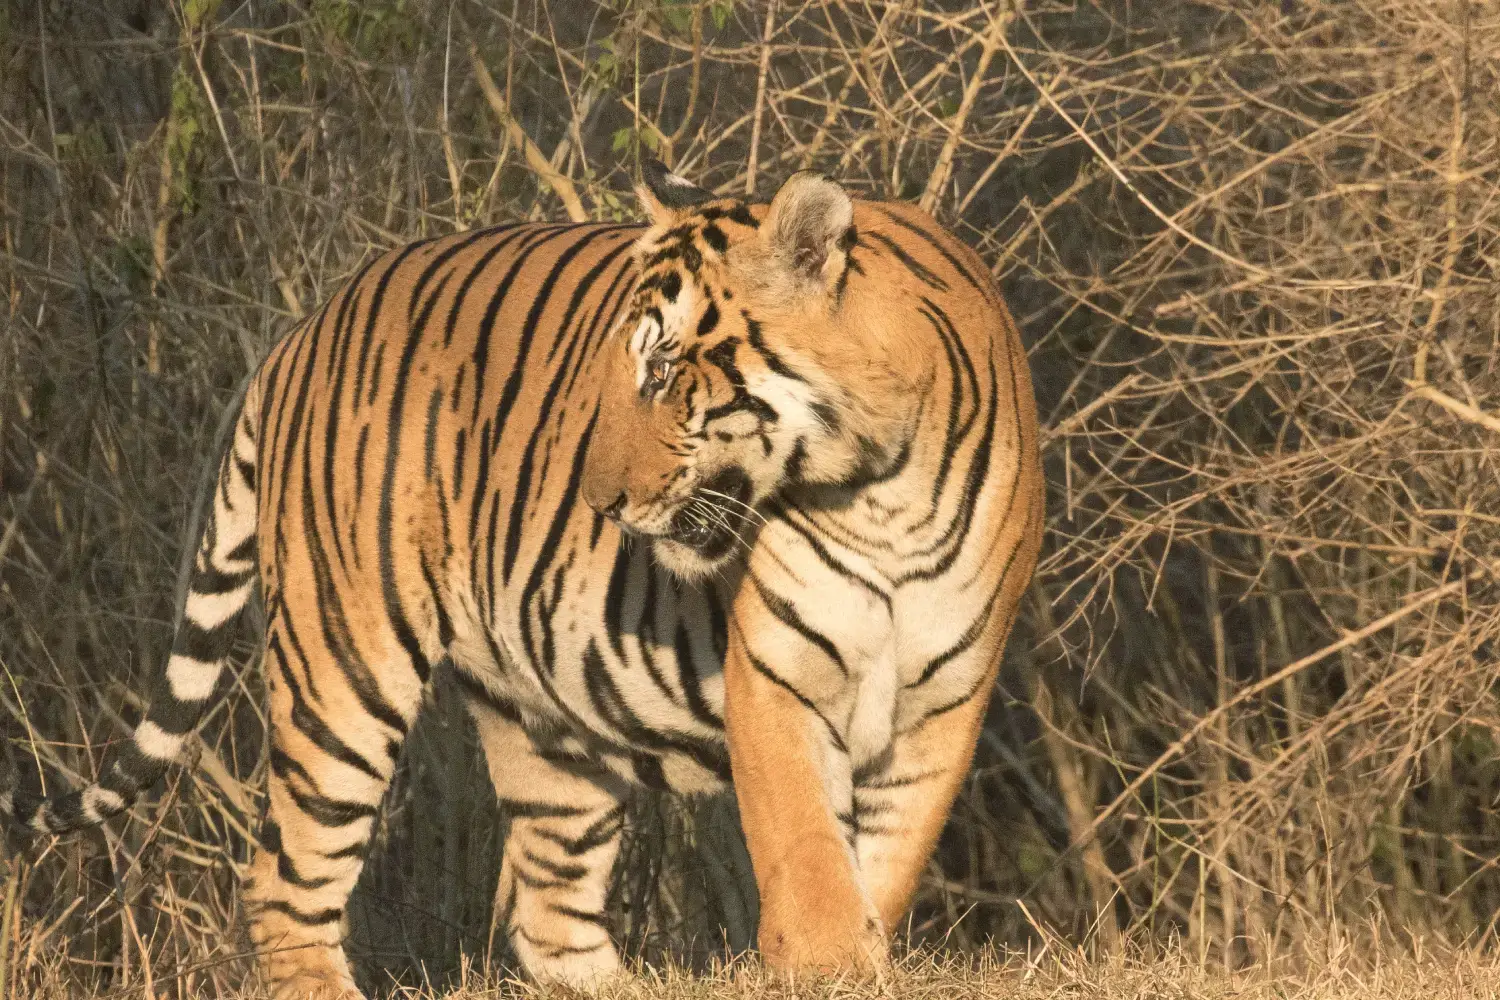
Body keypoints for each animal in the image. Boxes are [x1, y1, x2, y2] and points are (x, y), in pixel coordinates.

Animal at [0, 160, 1044, 995]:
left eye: (666, 371)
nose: (599, 501)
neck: (879, 494)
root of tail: (306, 325)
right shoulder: (778, 679)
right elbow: (809, 854)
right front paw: (828, 963)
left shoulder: (943, 706)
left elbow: (883, 865)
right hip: (342, 670)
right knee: (284, 885)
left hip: (549, 727)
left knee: (549, 916)